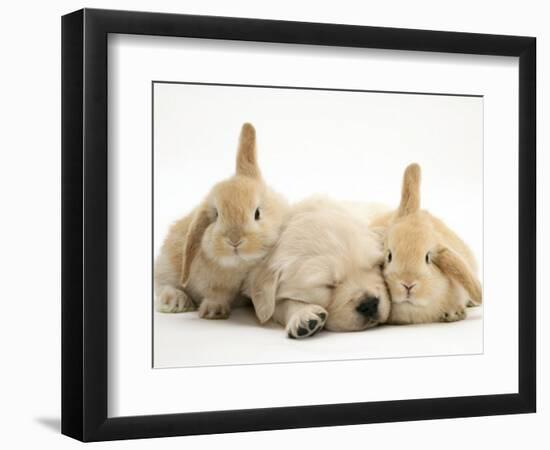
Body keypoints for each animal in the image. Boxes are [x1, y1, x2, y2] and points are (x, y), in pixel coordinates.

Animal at [153, 123, 286, 318]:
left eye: (257, 213)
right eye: (216, 215)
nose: (234, 240)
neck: (239, 266)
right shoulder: (213, 283)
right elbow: (216, 294)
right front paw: (213, 311)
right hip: (166, 264)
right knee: (163, 285)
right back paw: (176, 301)